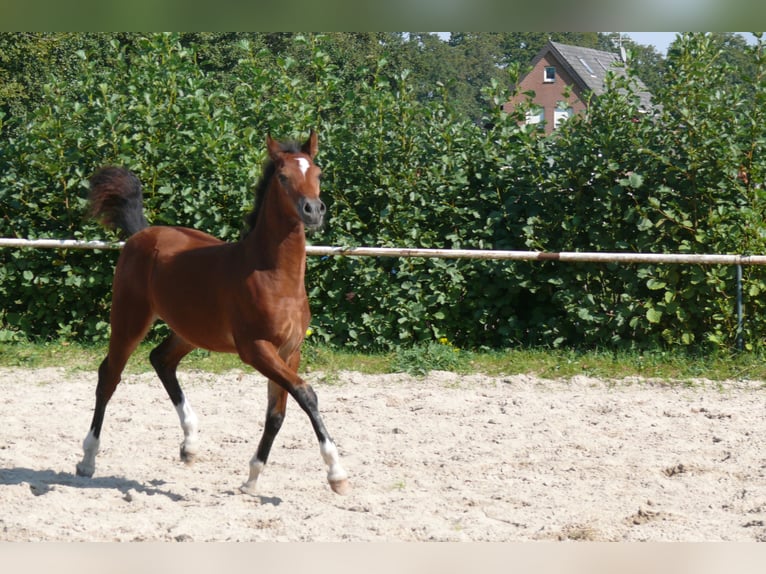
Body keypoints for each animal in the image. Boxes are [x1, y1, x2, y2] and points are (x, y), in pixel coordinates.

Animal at [75, 130, 352, 496]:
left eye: (318, 174)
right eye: (283, 176)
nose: (313, 211)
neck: (273, 275)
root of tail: (142, 233)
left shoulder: (289, 351)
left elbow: (277, 413)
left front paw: (252, 479)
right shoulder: (255, 349)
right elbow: (306, 394)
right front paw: (337, 473)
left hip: (190, 330)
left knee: (161, 360)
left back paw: (190, 445)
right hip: (129, 320)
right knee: (109, 376)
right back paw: (87, 460)